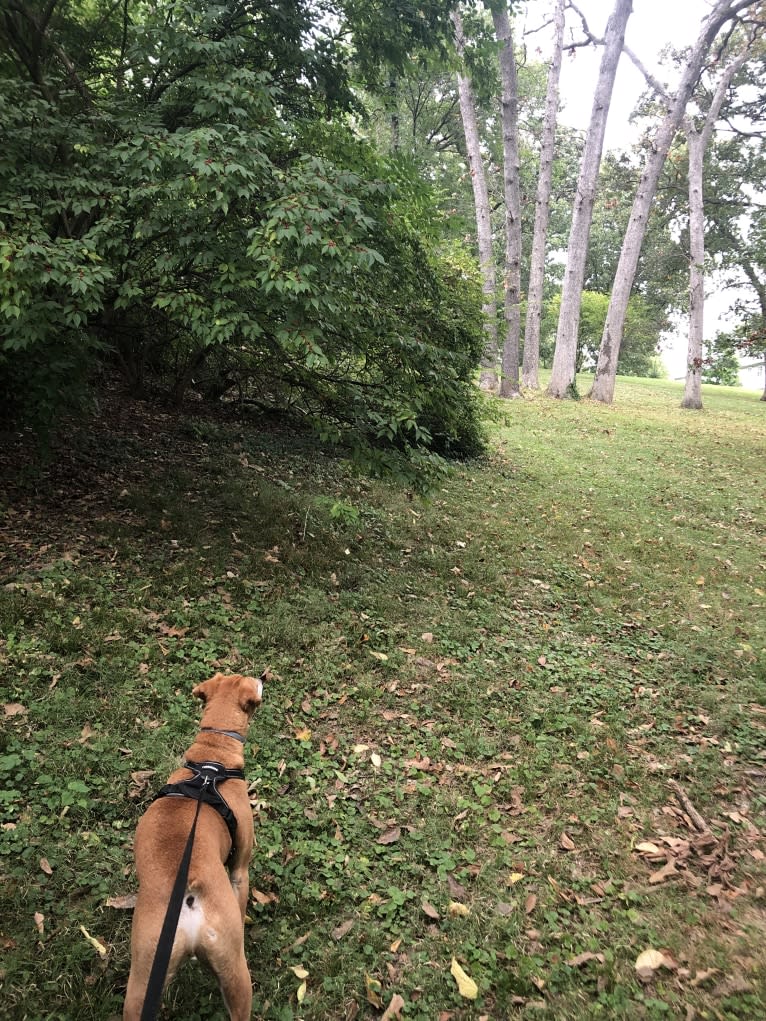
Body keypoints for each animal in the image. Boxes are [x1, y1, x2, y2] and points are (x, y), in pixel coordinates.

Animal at [121, 669, 263, 1021]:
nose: (262, 677)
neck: (211, 761)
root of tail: (189, 896)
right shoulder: (240, 869)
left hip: (143, 978)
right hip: (236, 973)